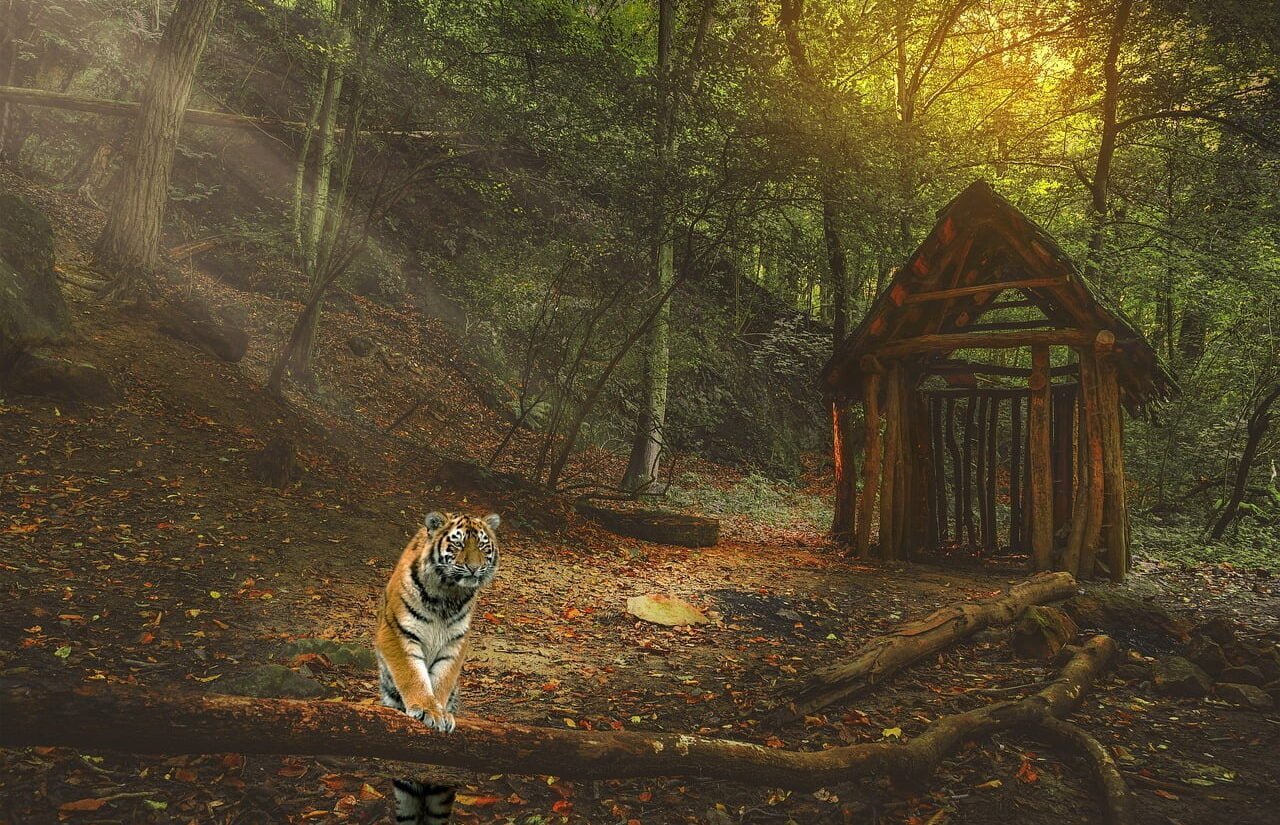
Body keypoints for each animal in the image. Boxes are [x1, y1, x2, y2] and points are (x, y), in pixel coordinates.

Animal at [375, 510, 501, 825]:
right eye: (457, 544)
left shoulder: (455, 643)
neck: (448, 594)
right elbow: (412, 674)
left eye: (483, 545)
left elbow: (442, 679)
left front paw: (441, 713)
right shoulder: (397, 633)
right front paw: (427, 710)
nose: (473, 569)